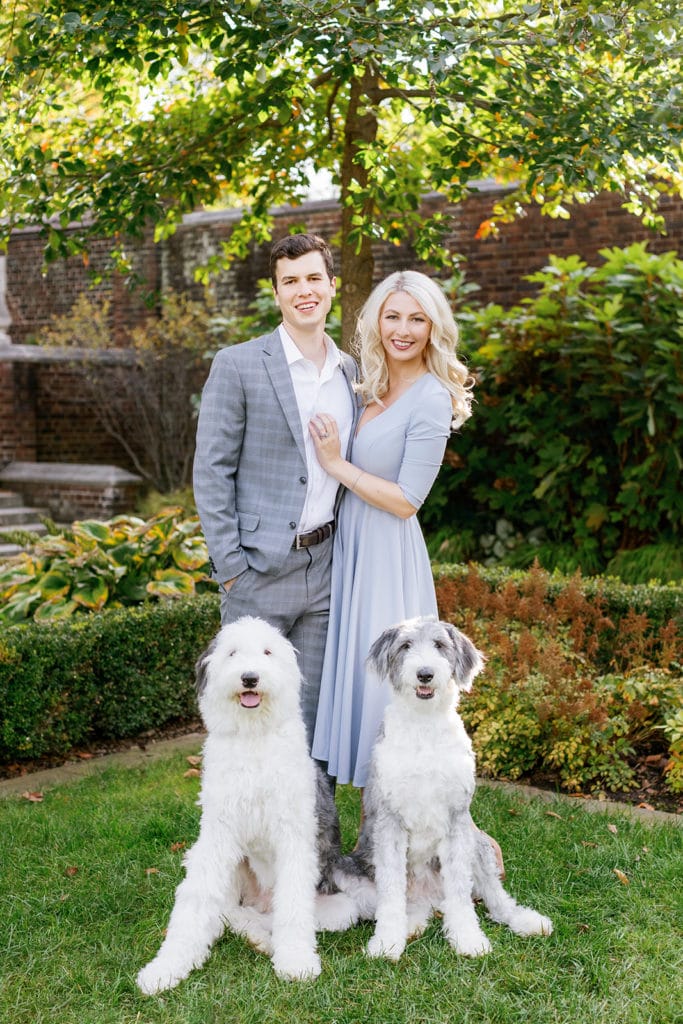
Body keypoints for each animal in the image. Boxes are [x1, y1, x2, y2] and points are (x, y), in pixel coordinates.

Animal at [139, 614, 362, 991]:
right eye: (232, 653)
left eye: (267, 652)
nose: (250, 678)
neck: (254, 735)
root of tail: (261, 903)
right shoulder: (216, 837)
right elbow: (195, 902)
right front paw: (166, 967)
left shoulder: (294, 839)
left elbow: (293, 909)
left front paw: (296, 962)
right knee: (229, 913)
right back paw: (256, 937)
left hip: (340, 906)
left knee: (279, 916)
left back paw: (267, 942)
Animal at [335, 614, 557, 958]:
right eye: (406, 646)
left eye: (439, 645)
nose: (425, 673)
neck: (424, 725)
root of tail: (429, 899)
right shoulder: (389, 821)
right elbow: (391, 893)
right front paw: (386, 942)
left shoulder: (456, 819)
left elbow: (461, 894)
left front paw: (468, 939)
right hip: (347, 869)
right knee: (405, 904)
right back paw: (409, 926)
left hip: (479, 843)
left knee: (495, 899)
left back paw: (528, 921)